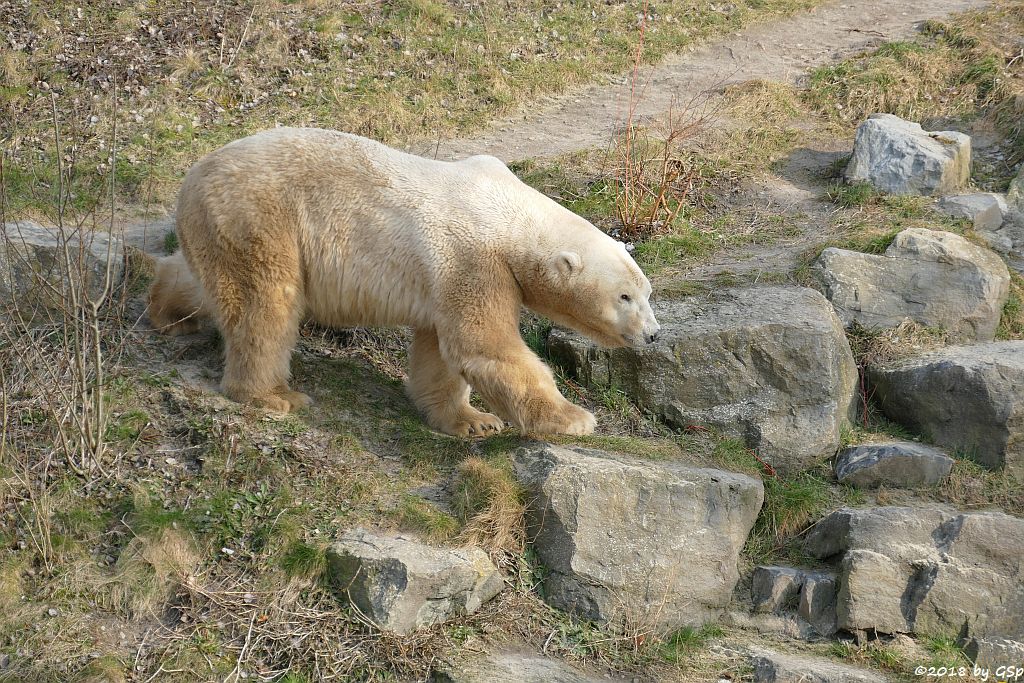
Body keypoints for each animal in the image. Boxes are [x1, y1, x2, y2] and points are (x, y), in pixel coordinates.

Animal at [149, 127, 663, 436]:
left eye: (647, 293)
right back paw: (274, 396)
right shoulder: (474, 260)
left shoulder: (448, 279)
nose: (654, 335)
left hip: (223, 228)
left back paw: (166, 310)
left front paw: (473, 421)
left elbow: (439, 352)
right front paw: (573, 418)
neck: (510, 215)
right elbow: (485, 347)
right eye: (624, 296)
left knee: (208, 283)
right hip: (261, 220)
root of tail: (193, 176)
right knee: (266, 305)